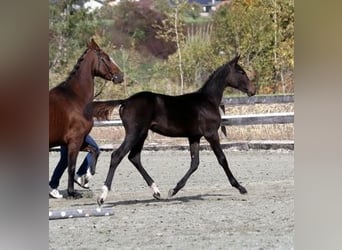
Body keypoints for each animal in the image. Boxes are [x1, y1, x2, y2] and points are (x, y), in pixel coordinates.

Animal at [48, 38, 123, 197]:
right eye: (106, 57)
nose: (120, 76)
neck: (75, 98)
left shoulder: (78, 141)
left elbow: (94, 151)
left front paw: (85, 178)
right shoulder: (75, 141)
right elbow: (71, 166)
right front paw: (72, 192)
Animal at [92, 55, 255, 205]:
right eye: (241, 72)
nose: (252, 91)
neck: (207, 101)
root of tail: (125, 101)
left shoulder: (194, 136)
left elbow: (194, 163)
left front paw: (174, 190)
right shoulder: (211, 134)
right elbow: (222, 159)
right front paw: (240, 188)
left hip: (142, 134)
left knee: (134, 157)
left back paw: (156, 191)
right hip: (134, 133)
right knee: (117, 156)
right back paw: (102, 197)